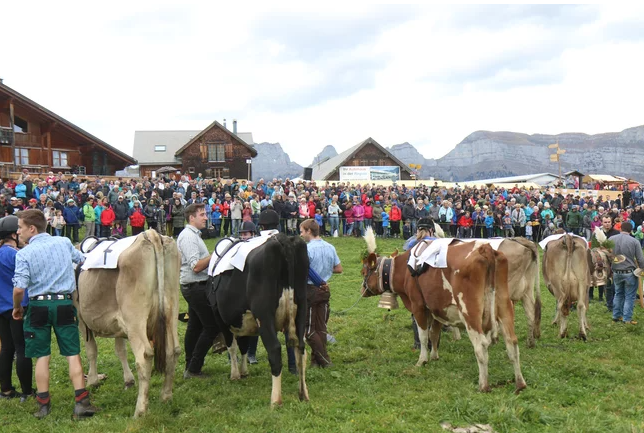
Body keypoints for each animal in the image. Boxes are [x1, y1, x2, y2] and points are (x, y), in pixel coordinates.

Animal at [76, 228, 180, 416]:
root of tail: (151, 234)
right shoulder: (118, 322)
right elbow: (120, 350)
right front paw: (128, 380)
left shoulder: (81, 319)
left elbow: (91, 350)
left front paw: (93, 380)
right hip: (171, 310)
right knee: (173, 350)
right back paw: (166, 396)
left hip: (135, 318)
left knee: (144, 356)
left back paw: (140, 410)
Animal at [209, 233, 310, 404]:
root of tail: (281, 239)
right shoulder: (245, 321)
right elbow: (244, 345)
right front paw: (244, 371)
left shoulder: (220, 318)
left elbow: (232, 346)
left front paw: (235, 374)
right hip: (302, 309)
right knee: (301, 350)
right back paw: (303, 394)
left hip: (264, 315)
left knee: (275, 350)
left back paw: (275, 401)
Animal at [360, 228, 524, 394]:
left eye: (363, 272)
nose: (362, 291)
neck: (405, 269)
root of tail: (485, 248)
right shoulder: (437, 309)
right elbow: (434, 333)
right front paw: (434, 356)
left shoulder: (418, 307)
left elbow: (424, 336)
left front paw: (422, 360)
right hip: (504, 305)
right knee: (512, 342)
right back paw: (520, 383)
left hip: (470, 311)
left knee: (481, 345)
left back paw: (483, 385)